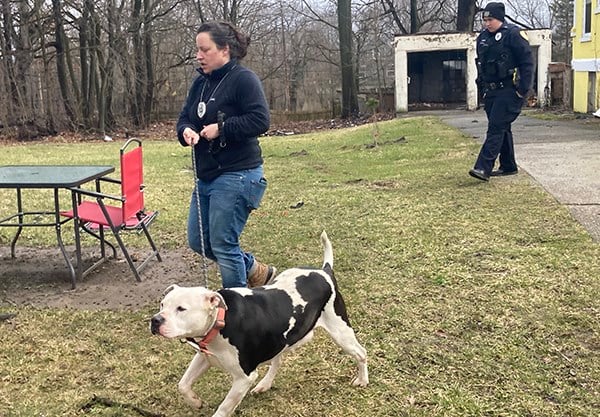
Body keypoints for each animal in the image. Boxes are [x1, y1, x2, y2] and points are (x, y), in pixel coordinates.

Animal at [150, 231, 368, 416]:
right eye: (162, 304)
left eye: (181, 309)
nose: (155, 320)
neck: (221, 321)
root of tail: (324, 271)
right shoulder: (205, 357)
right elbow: (183, 385)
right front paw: (195, 402)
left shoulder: (243, 378)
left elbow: (223, 408)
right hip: (280, 340)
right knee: (278, 359)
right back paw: (265, 384)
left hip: (341, 332)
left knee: (361, 353)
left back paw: (362, 379)